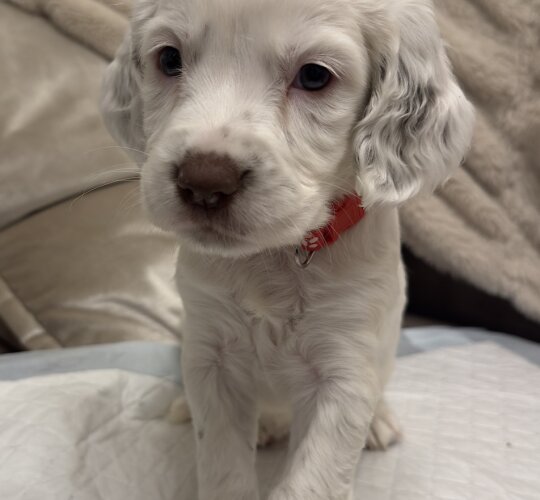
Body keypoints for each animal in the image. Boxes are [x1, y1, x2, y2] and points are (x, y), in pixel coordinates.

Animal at [100, 0, 472, 498]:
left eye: (314, 76)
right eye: (169, 59)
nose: (204, 183)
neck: (273, 256)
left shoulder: (344, 370)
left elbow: (312, 480)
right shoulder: (210, 355)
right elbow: (221, 465)